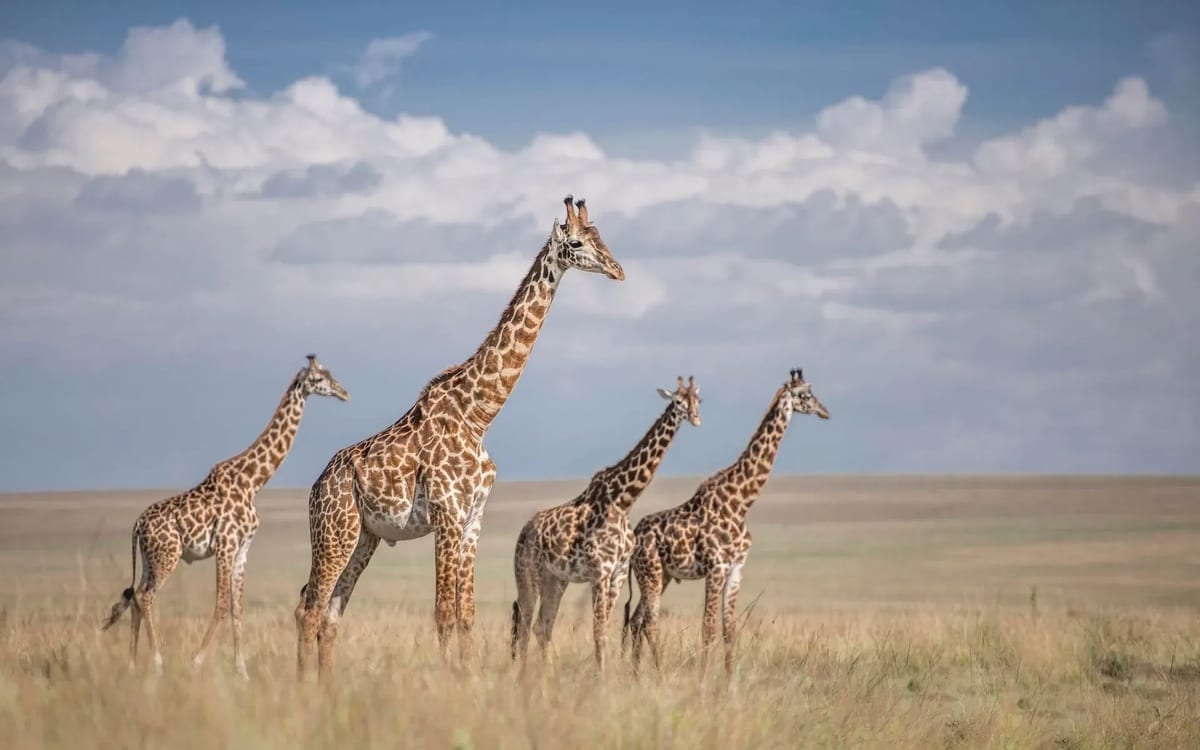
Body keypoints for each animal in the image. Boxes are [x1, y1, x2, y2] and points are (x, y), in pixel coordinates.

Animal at [102, 355, 350, 677]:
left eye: (330, 374)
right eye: (320, 379)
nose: (343, 392)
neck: (252, 481)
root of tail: (137, 525)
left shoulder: (243, 547)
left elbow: (236, 608)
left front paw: (241, 670)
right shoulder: (226, 543)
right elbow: (220, 605)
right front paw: (197, 661)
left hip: (149, 559)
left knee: (136, 597)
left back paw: (132, 664)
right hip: (167, 555)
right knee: (146, 597)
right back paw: (158, 663)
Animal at [294, 196, 624, 678]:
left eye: (603, 236)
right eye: (578, 242)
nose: (618, 270)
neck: (478, 414)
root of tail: (316, 488)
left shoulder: (472, 519)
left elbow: (466, 612)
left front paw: (468, 678)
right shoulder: (447, 516)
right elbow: (443, 612)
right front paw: (448, 679)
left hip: (364, 537)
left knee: (331, 611)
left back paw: (326, 685)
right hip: (335, 532)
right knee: (310, 608)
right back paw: (305, 685)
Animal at [510, 376, 702, 672]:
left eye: (697, 400)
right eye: (678, 401)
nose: (695, 418)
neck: (623, 501)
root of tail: (523, 531)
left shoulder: (619, 573)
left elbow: (605, 628)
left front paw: (607, 673)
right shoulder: (600, 571)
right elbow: (598, 630)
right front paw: (599, 676)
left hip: (556, 579)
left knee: (543, 625)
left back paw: (546, 673)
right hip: (527, 573)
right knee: (525, 622)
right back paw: (523, 675)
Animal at [622, 368, 830, 676]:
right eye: (805, 394)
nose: (824, 411)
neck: (741, 502)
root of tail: (635, 537)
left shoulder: (736, 568)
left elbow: (729, 629)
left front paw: (729, 680)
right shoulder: (716, 567)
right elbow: (707, 628)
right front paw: (703, 679)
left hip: (663, 575)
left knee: (637, 621)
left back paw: (637, 676)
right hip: (651, 573)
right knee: (648, 621)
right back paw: (656, 674)